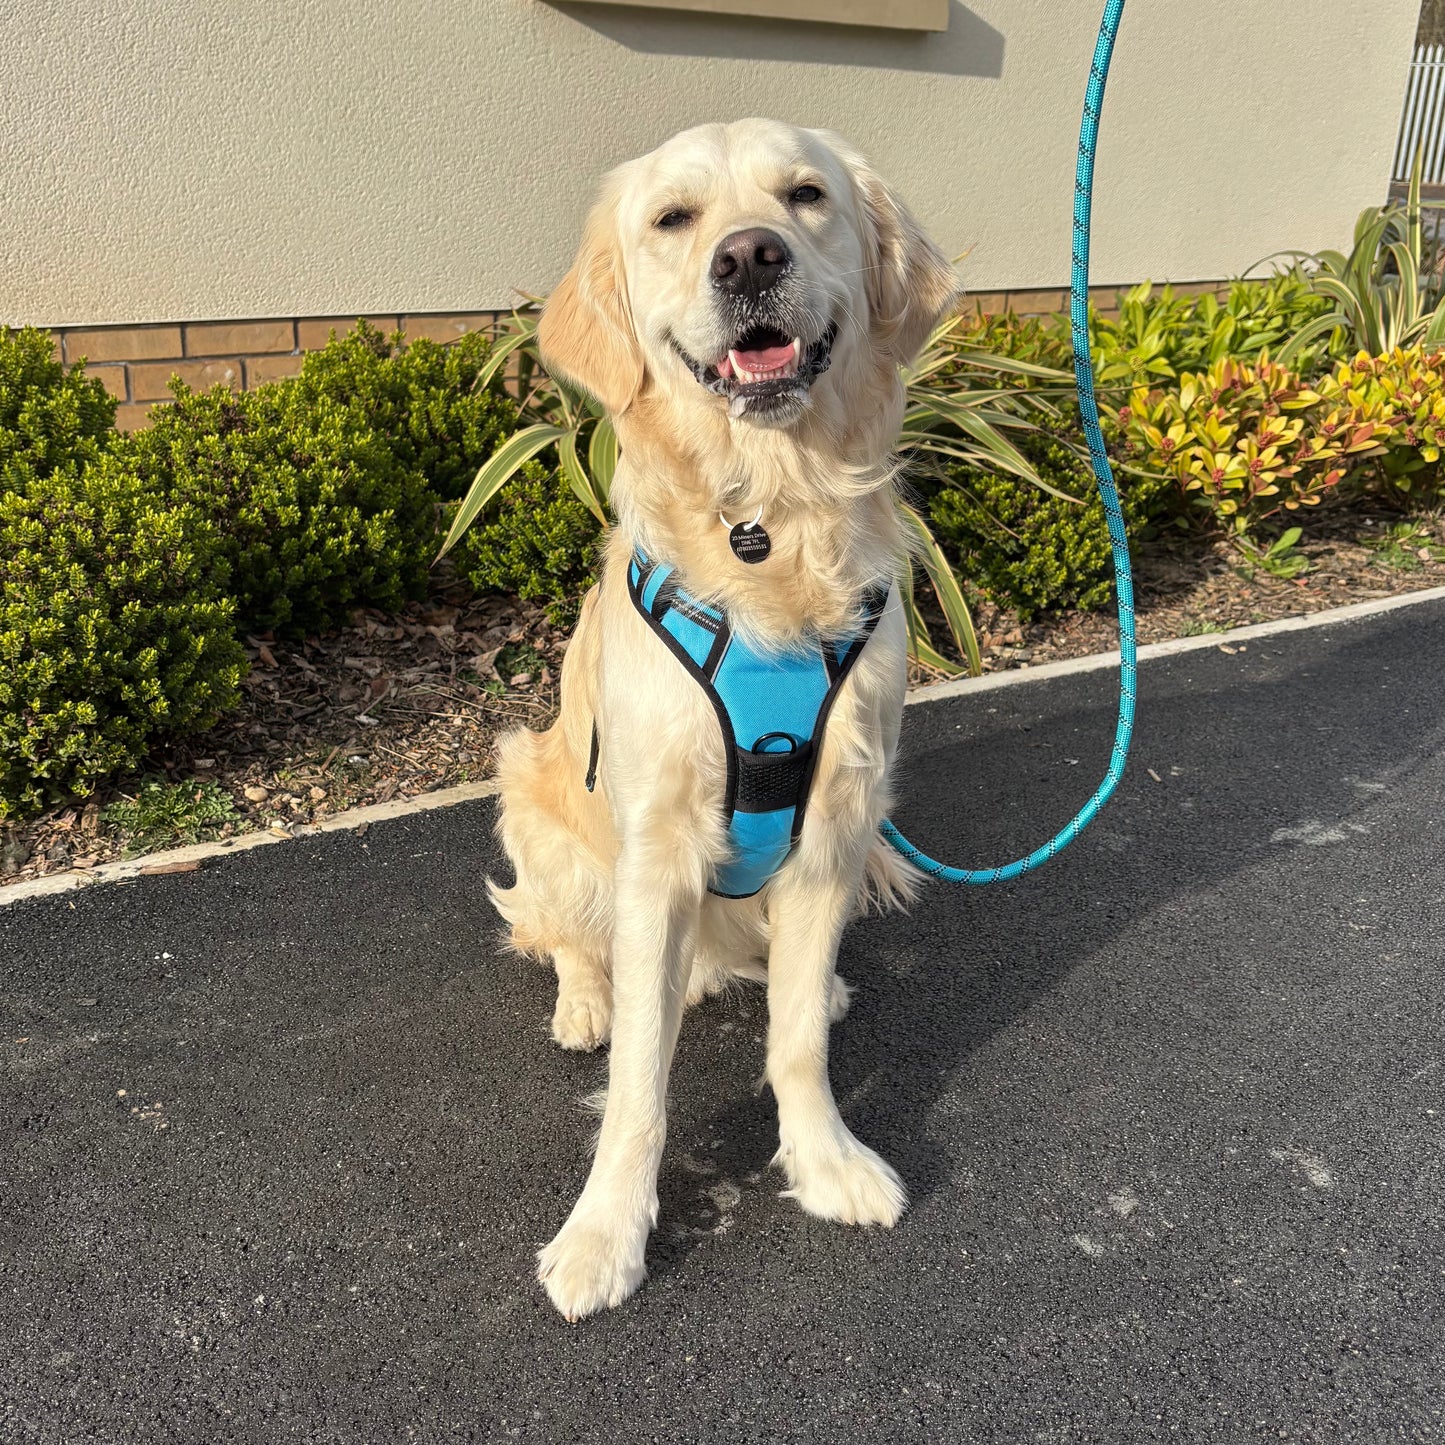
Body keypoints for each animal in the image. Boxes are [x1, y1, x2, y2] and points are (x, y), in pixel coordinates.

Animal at [488, 121, 959, 1323]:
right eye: (673, 218)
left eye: (805, 196)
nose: (749, 257)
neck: (768, 515)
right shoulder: (654, 845)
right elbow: (637, 1088)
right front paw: (604, 1231)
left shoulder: (835, 818)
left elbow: (792, 1047)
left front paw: (824, 1158)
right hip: (531, 792)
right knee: (565, 936)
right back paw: (587, 1001)